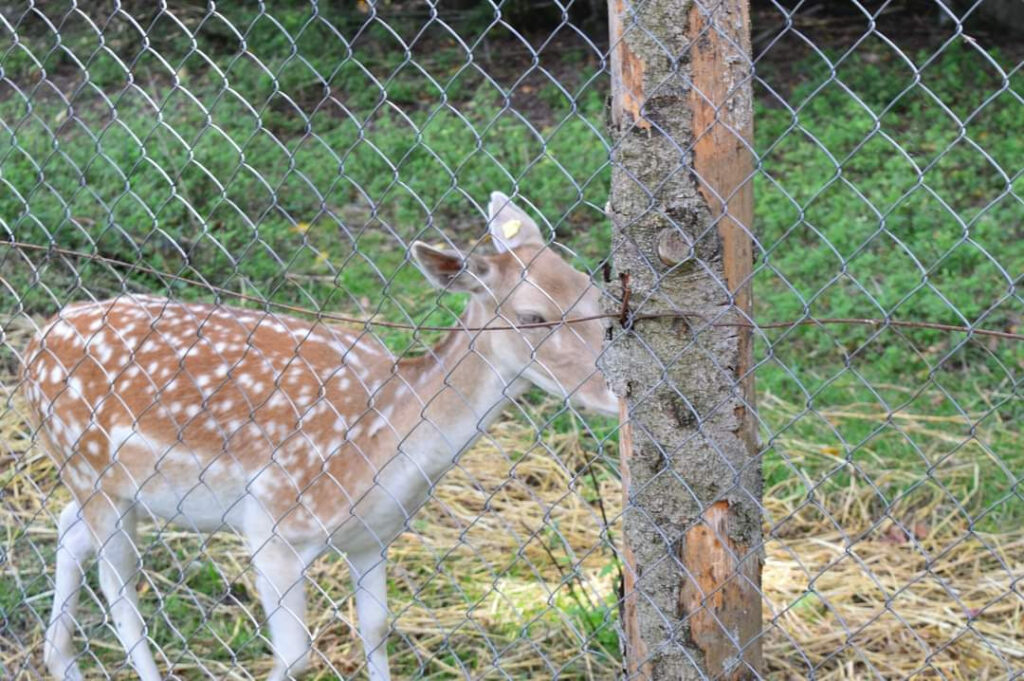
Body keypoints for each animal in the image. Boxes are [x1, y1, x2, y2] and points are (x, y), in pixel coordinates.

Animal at [22, 192, 614, 679]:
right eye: (533, 316)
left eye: (593, 291)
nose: (614, 391)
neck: (381, 448)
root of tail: (32, 346)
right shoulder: (272, 528)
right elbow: (295, 656)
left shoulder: (374, 537)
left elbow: (377, 629)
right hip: (91, 469)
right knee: (119, 589)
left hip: (111, 487)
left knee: (69, 528)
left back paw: (58, 661)